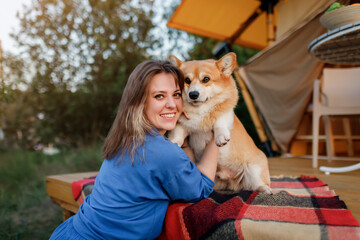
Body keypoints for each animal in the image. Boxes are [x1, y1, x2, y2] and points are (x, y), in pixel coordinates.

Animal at [169, 52, 272, 193]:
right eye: (187, 80)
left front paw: (221, 136)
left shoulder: (226, 115)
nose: (193, 94)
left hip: (253, 169)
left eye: (206, 79)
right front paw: (173, 142)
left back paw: (264, 189)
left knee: (256, 184)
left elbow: (219, 122)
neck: (200, 111)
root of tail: (233, 183)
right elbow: (178, 133)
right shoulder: (182, 124)